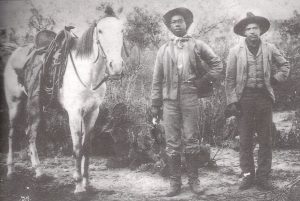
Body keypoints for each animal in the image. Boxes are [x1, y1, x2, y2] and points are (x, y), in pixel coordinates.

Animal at [4, 7, 124, 194]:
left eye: (122, 30)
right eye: (100, 31)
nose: (116, 67)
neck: (88, 75)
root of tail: (14, 52)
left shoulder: (92, 113)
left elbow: (86, 147)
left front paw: (87, 182)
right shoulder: (74, 114)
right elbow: (76, 148)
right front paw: (78, 186)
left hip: (36, 105)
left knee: (30, 134)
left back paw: (38, 172)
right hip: (14, 104)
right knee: (12, 134)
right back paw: (11, 171)